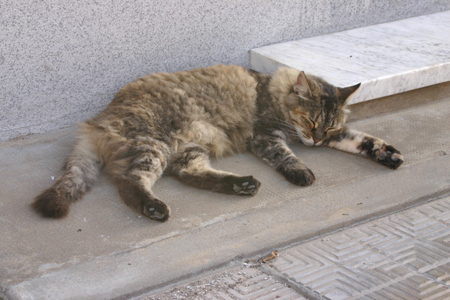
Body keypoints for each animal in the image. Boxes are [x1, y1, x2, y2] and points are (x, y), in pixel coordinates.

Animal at [32, 64, 404, 221]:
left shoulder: (337, 136)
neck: (274, 91)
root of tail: (95, 122)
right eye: (311, 122)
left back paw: (243, 185)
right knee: (129, 181)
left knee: (190, 175)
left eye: (327, 128)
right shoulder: (266, 135)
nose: (314, 141)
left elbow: (362, 140)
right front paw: (301, 171)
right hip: (154, 146)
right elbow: (285, 155)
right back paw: (155, 208)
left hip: (189, 149)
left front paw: (388, 153)